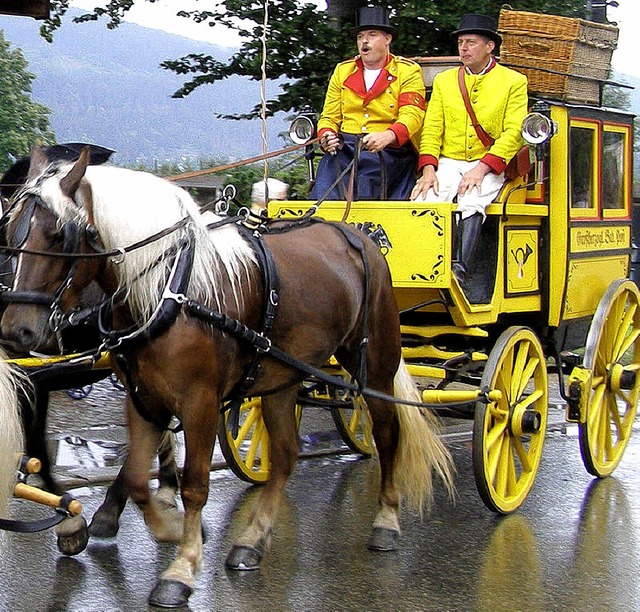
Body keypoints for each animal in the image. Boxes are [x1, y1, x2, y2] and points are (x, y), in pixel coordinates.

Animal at [0, 147, 456, 608]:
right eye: (10, 228)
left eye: (60, 235)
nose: (17, 332)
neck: (172, 289)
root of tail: (355, 232)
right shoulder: (142, 397)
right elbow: (136, 477)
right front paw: (166, 529)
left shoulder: (199, 402)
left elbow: (195, 485)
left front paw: (182, 567)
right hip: (281, 378)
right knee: (286, 453)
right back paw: (252, 539)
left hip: (376, 366)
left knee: (387, 433)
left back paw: (386, 519)